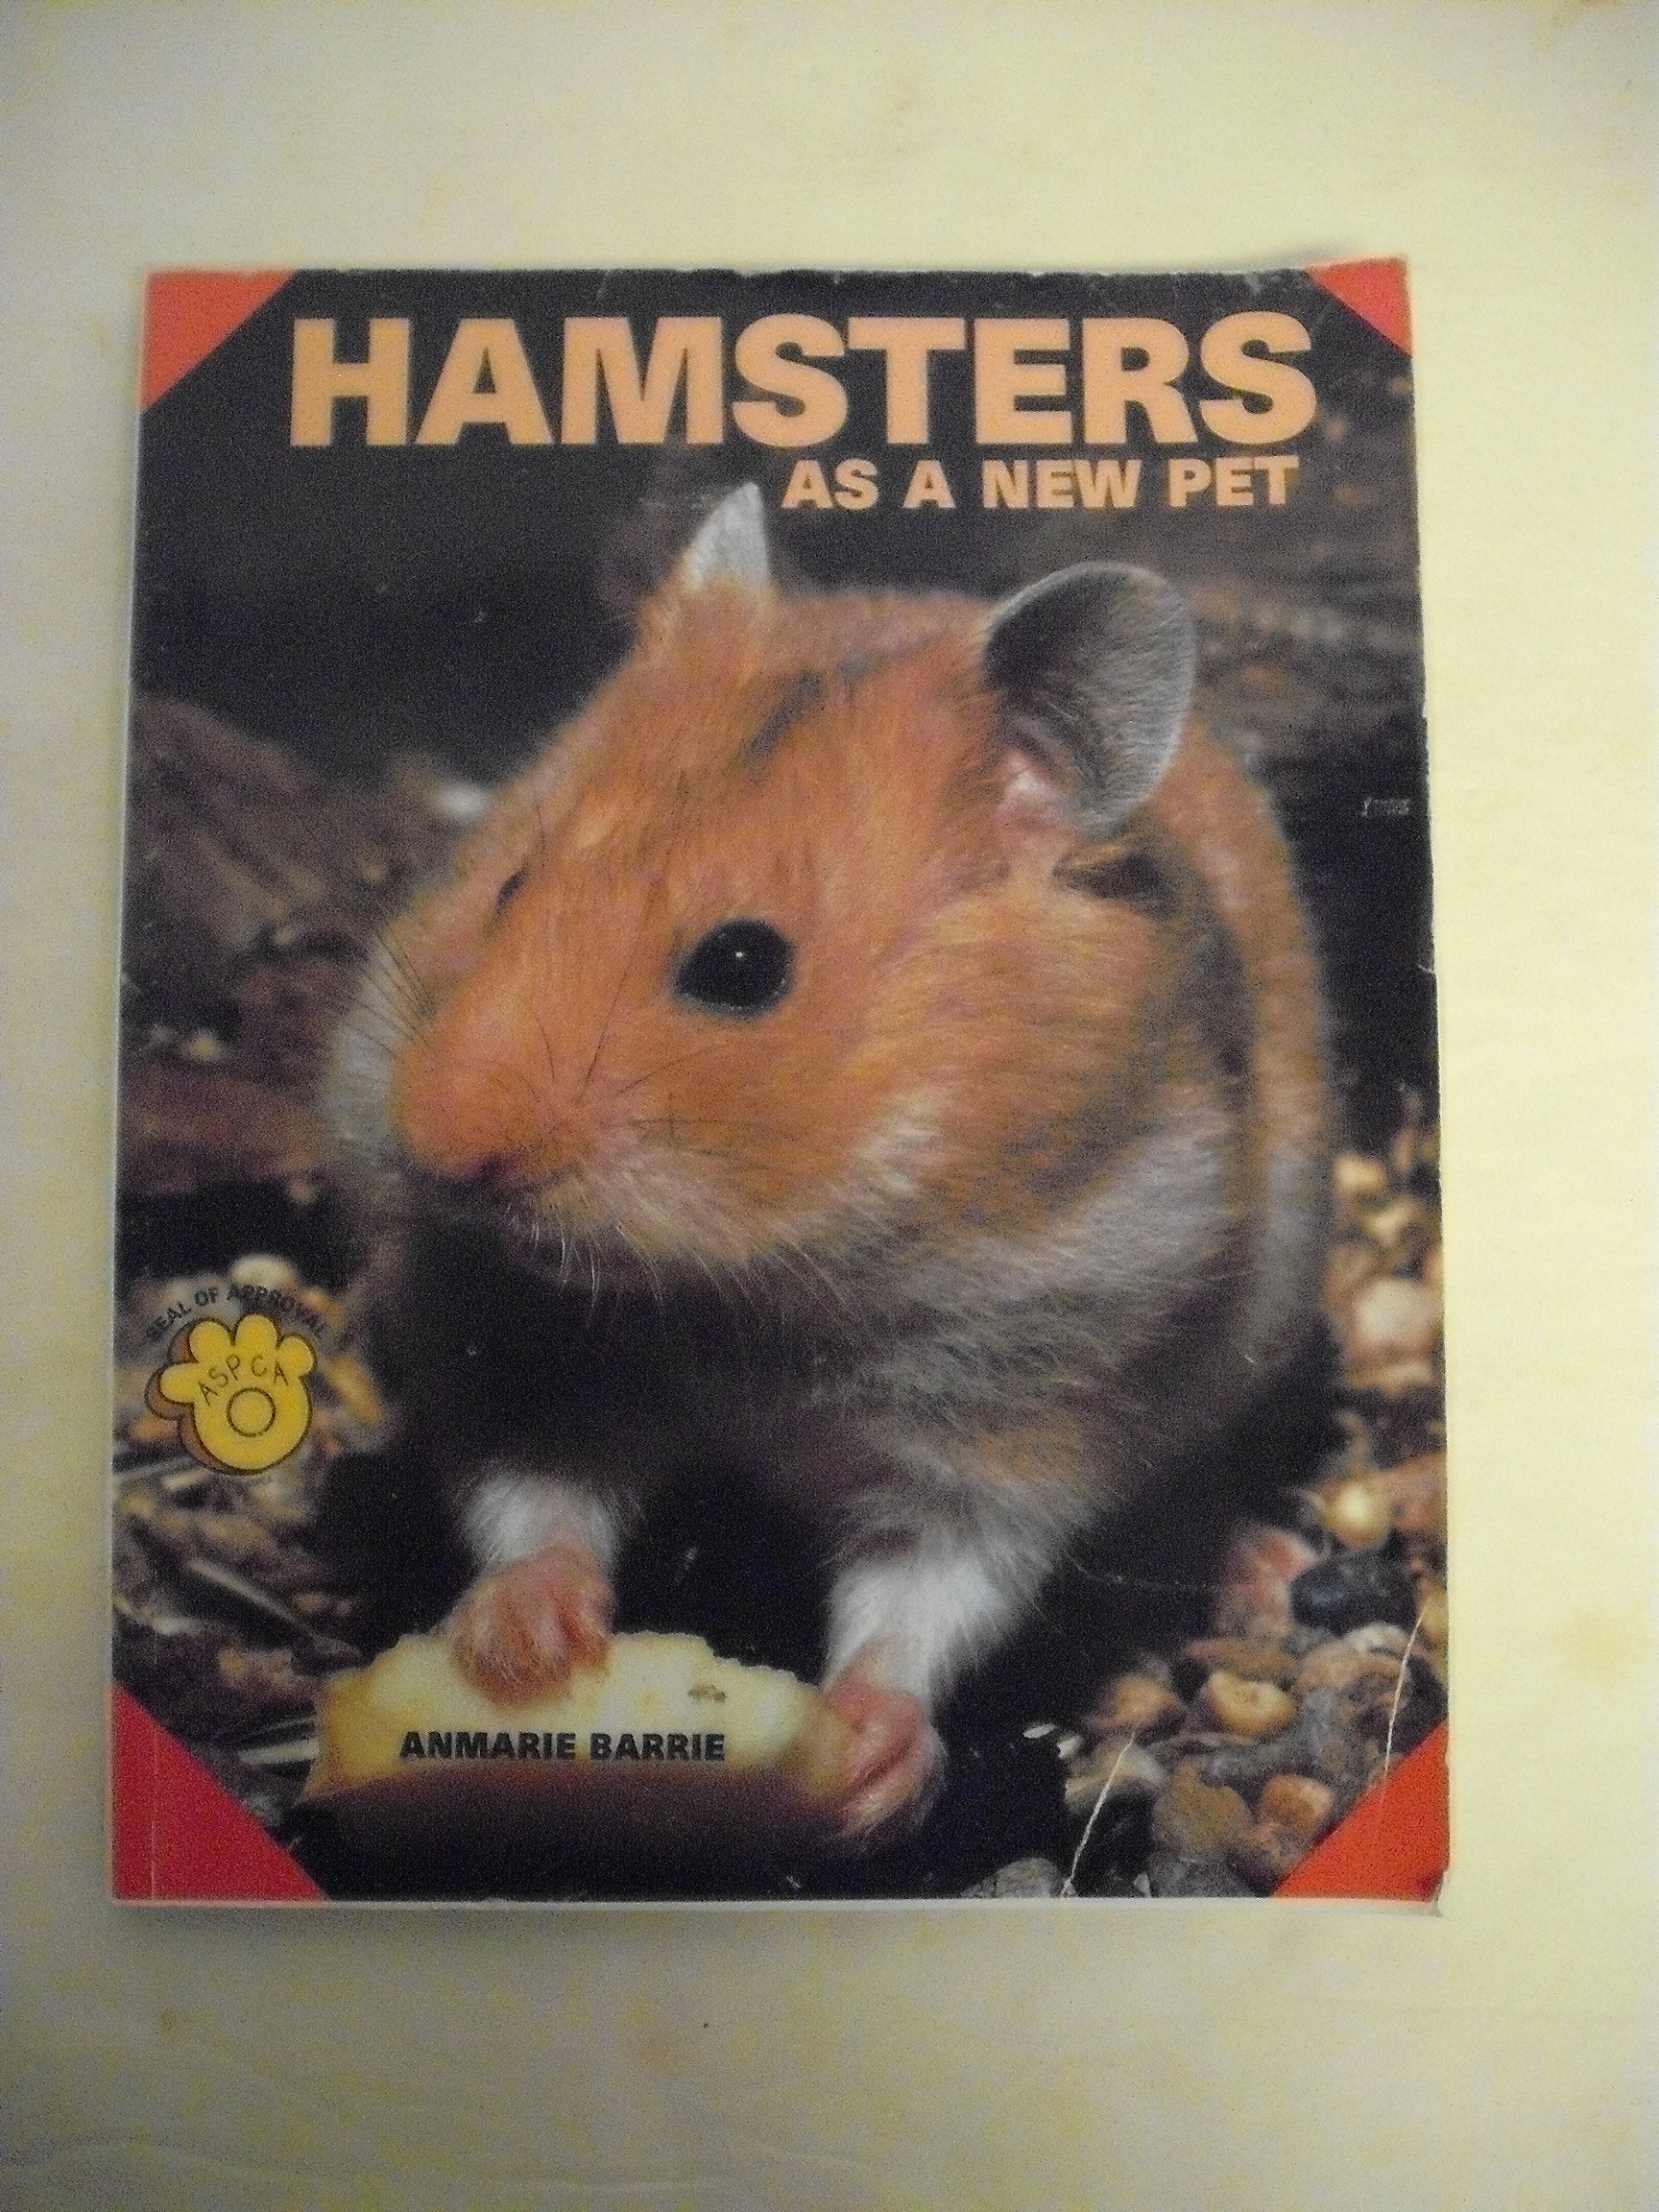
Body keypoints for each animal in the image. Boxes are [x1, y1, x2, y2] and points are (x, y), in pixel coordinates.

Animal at [328, 484, 1330, 1837]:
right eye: (511, 884)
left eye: (744, 966)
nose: (435, 1149)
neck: (757, 1287)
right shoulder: (518, 1347)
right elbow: (534, 1497)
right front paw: (526, 1650)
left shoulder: (1014, 1425)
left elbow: (928, 1598)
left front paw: (861, 1765)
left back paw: (1262, 1568)